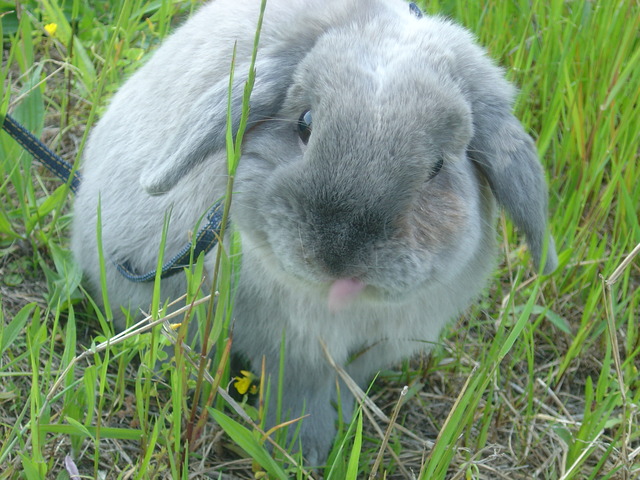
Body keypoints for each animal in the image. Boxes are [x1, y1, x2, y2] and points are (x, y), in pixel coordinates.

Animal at [71, 0, 558, 465]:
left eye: (438, 165)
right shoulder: (287, 348)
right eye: (304, 122)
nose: (338, 252)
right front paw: (299, 450)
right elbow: (296, 394)